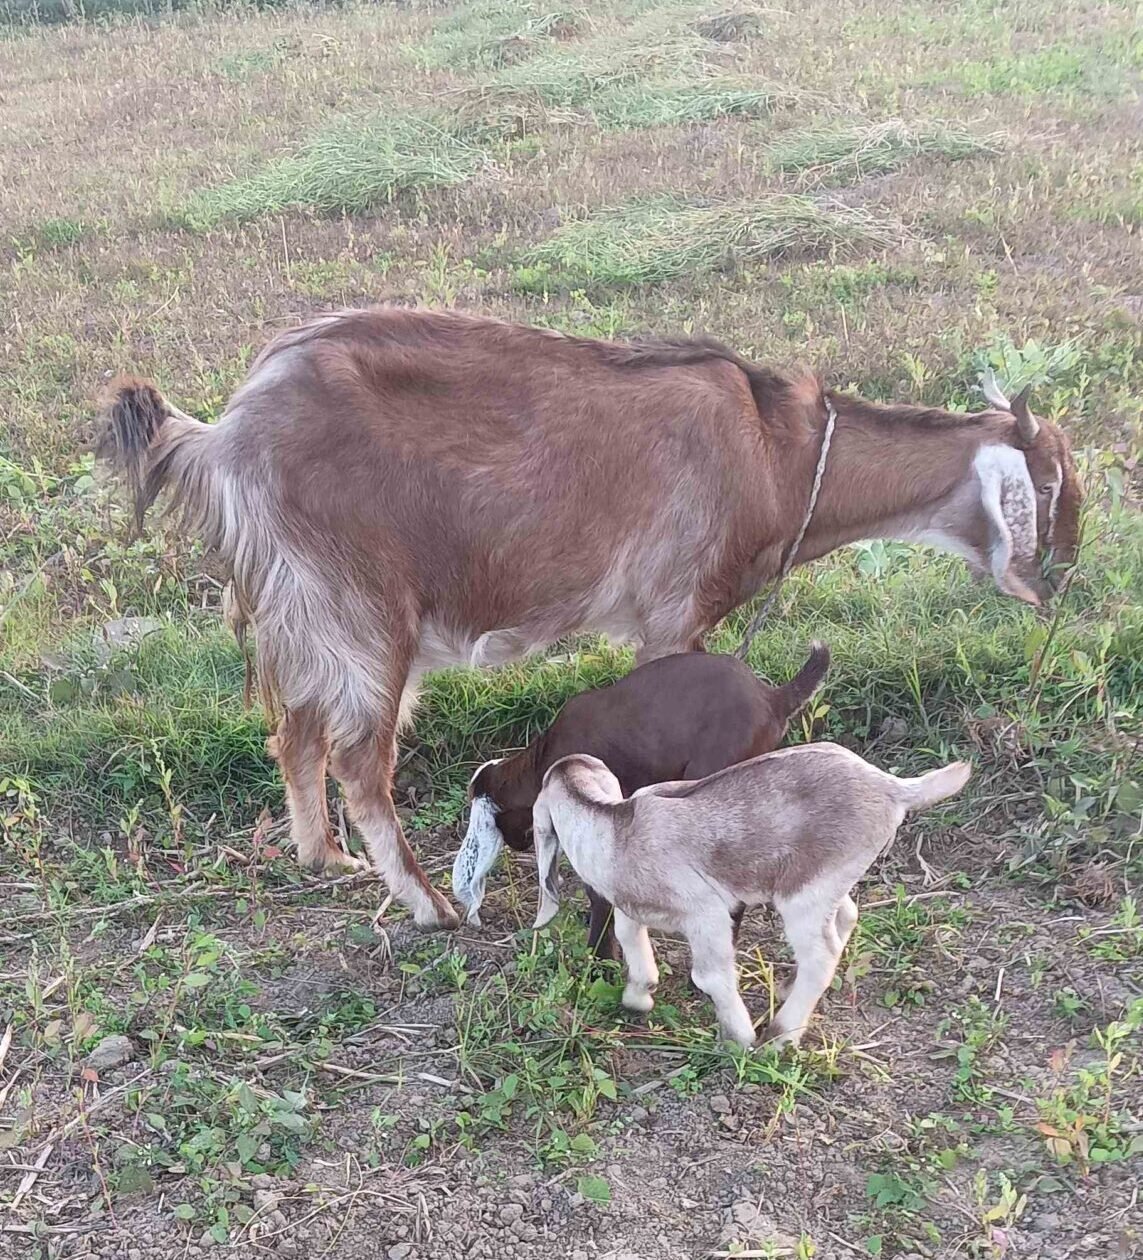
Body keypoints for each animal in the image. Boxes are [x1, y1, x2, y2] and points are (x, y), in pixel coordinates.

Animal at [532, 746, 971, 1048]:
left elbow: (710, 974)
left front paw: (739, 1039)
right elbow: (629, 938)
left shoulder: (705, 912)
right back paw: (788, 992)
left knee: (821, 955)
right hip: (828, 879)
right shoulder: (631, 904)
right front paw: (638, 997)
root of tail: (892, 786)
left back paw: (779, 1036)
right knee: (846, 916)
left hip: (804, 895)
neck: (612, 827)